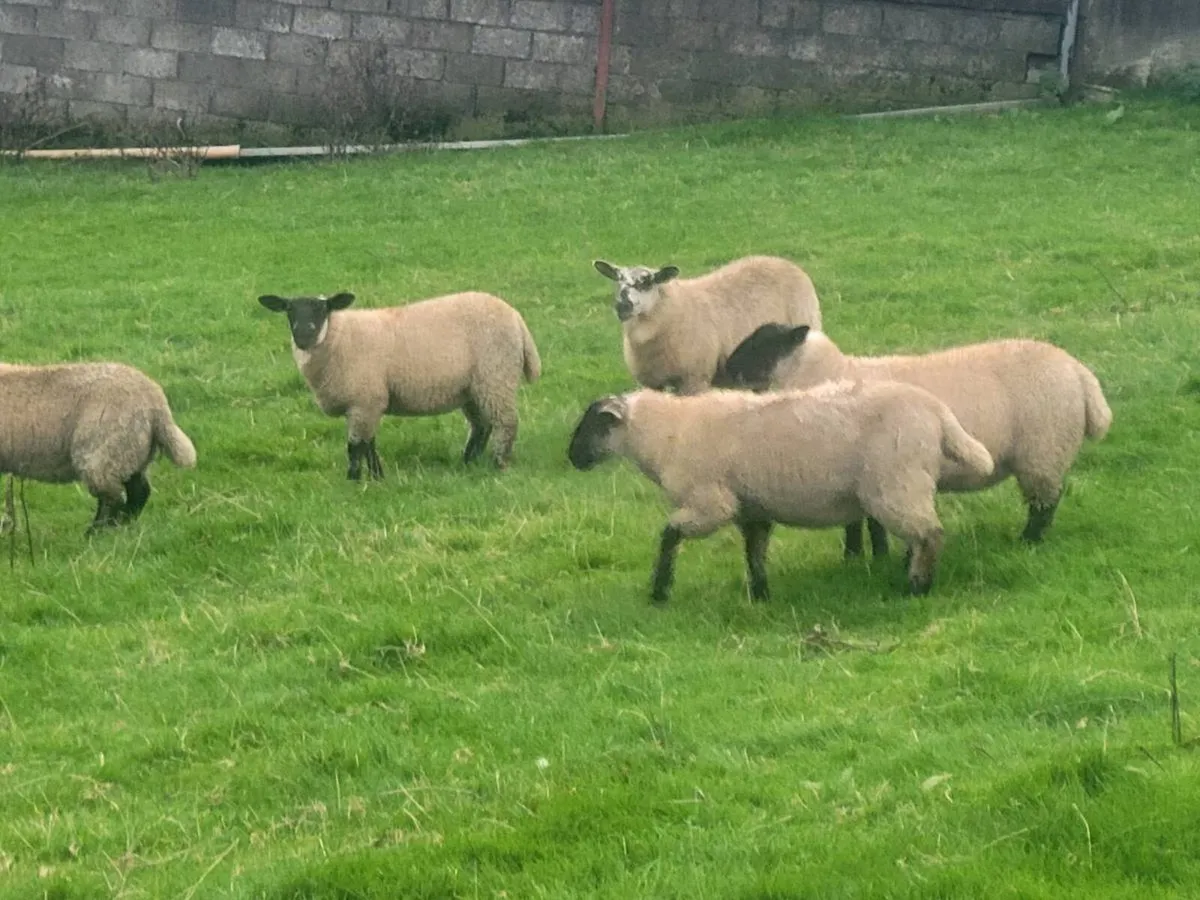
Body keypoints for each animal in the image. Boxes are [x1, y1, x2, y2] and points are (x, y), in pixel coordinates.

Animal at [0, 362, 197, 532]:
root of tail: (157, 405)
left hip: (103, 450)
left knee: (112, 498)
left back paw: (95, 534)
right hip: (130, 451)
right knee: (138, 491)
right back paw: (123, 524)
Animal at [258, 291, 541, 477]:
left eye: (322, 309)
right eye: (289, 310)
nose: (304, 335)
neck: (337, 337)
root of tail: (516, 318)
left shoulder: (365, 399)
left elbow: (355, 447)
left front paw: (354, 479)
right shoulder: (366, 402)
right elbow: (368, 443)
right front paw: (376, 476)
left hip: (496, 376)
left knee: (506, 423)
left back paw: (498, 463)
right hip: (472, 387)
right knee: (482, 426)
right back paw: (468, 462)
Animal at [567, 381, 994, 603]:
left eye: (594, 425)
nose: (572, 458)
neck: (665, 435)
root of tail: (938, 413)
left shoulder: (712, 502)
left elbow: (669, 534)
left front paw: (659, 590)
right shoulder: (752, 507)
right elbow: (754, 552)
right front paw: (760, 594)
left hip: (894, 485)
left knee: (930, 534)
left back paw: (918, 586)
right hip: (905, 484)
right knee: (923, 534)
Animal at [592, 255, 821, 395]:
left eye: (646, 282)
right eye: (618, 281)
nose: (622, 306)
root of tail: (782, 261)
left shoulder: (694, 378)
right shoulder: (651, 382)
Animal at [716, 324, 1113, 555]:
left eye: (762, 344)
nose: (722, 373)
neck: (834, 372)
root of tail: (1080, 373)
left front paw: (868, 556)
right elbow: (858, 519)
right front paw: (862, 557)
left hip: (1044, 448)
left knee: (1045, 502)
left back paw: (1028, 542)